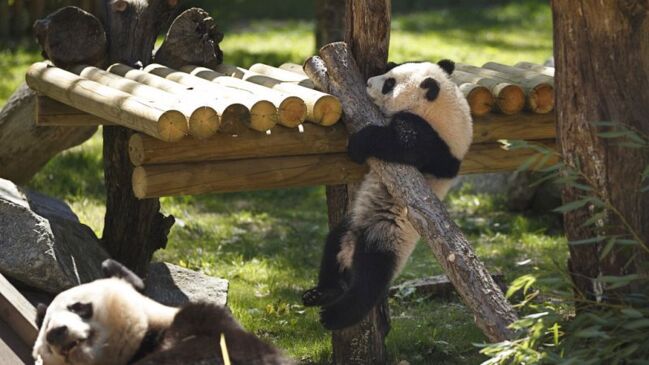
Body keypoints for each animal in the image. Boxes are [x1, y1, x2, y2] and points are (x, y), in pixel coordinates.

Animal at [302, 60, 474, 330]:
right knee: (333, 247)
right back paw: (321, 293)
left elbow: (401, 144)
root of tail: (352, 249)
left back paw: (335, 316)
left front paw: (359, 144)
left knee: (370, 280)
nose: (368, 82)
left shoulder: (436, 143)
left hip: (387, 236)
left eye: (389, 84)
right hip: (354, 222)